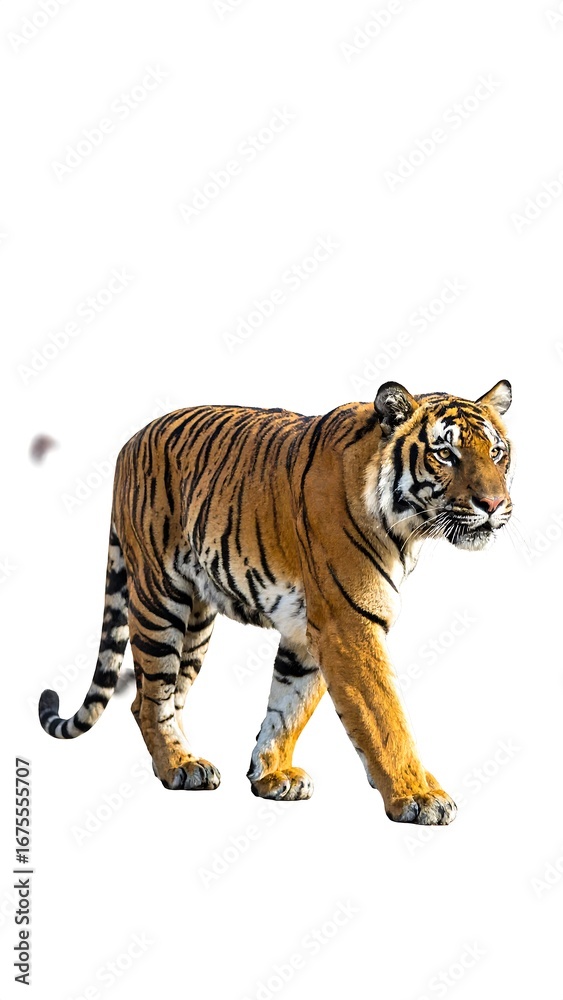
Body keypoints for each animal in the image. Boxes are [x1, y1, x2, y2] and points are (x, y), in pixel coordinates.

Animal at [39, 379, 513, 825]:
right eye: (445, 454)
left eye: (496, 452)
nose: (494, 504)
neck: (407, 531)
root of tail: (131, 441)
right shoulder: (348, 624)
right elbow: (384, 717)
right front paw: (418, 795)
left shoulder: (309, 630)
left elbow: (290, 705)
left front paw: (270, 774)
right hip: (160, 600)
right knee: (150, 698)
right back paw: (178, 766)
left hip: (197, 623)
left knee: (167, 696)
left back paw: (185, 759)